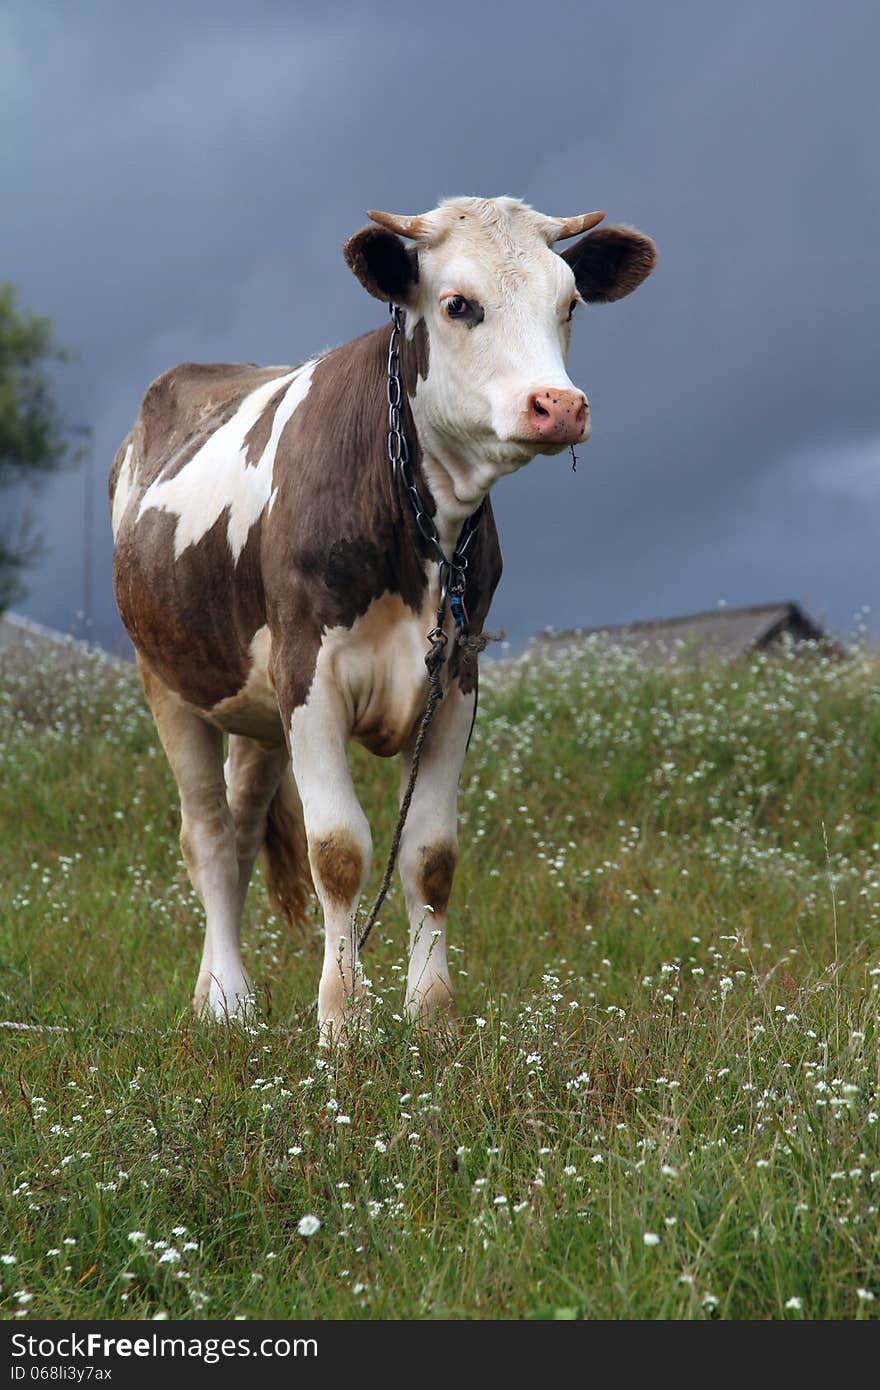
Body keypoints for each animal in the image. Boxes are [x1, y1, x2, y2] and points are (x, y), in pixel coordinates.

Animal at [109, 201, 656, 1039]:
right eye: (459, 304)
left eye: (570, 304)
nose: (558, 405)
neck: (421, 535)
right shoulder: (309, 677)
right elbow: (337, 851)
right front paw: (344, 1022)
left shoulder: (455, 678)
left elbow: (430, 855)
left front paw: (431, 1016)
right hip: (168, 680)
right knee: (206, 836)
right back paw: (230, 1000)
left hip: (256, 711)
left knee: (240, 831)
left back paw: (214, 993)